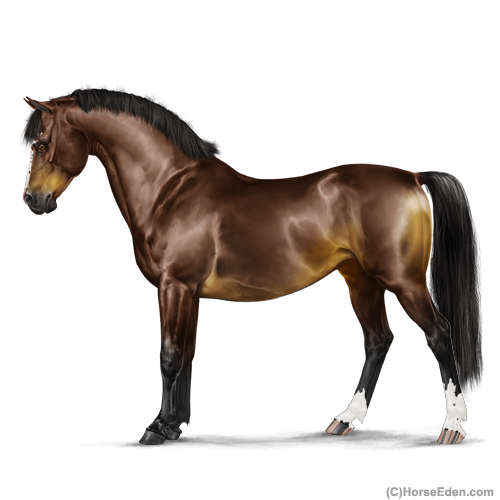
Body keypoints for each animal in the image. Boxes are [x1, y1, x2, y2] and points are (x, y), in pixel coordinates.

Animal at [19, 86, 482, 445]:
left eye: (41, 143)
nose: (33, 201)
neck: (170, 188)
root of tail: (413, 177)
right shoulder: (189, 293)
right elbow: (187, 353)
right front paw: (177, 423)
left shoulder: (174, 286)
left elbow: (168, 355)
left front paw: (157, 428)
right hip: (361, 280)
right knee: (378, 341)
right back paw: (345, 420)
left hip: (404, 282)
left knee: (440, 337)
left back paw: (452, 428)